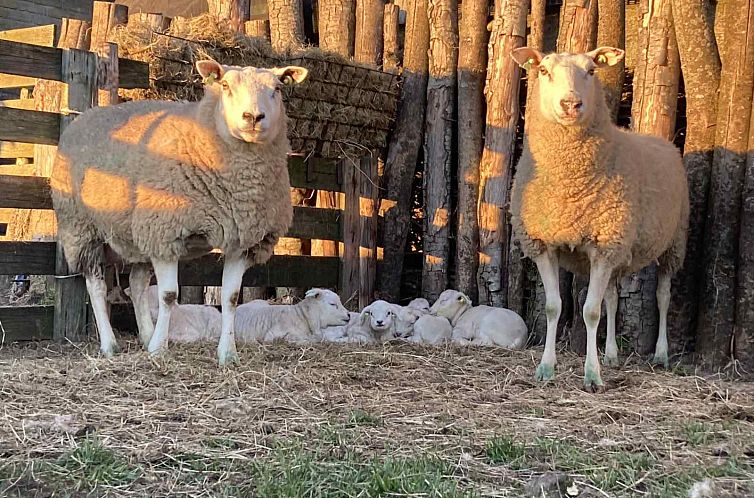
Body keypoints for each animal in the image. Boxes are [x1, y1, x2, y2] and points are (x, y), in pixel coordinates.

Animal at [49, 59, 306, 366]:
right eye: (225, 85)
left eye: (277, 88)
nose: (253, 117)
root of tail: (83, 117)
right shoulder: (165, 232)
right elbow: (169, 295)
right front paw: (159, 350)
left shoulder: (243, 240)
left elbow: (231, 298)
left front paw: (227, 354)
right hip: (81, 227)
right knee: (97, 286)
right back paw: (110, 345)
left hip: (137, 234)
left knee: (136, 284)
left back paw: (146, 336)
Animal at [508, 46, 692, 390]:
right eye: (543, 71)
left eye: (592, 70)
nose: (571, 104)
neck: (569, 188)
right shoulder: (544, 244)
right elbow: (554, 307)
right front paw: (546, 369)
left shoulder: (604, 246)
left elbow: (591, 312)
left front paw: (592, 376)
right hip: (619, 249)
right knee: (613, 298)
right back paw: (611, 355)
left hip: (673, 242)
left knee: (663, 295)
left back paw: (661, 355)